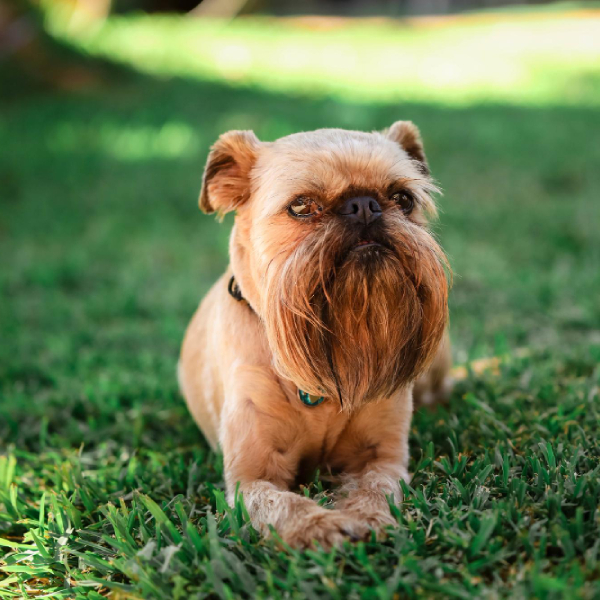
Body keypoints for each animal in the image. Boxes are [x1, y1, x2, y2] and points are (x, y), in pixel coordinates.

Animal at [178, 122, 450, 548]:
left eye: (403, 199)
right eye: (302, 206)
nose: (364, 205)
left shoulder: (382, 458)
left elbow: (376, 487)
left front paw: (366, 516)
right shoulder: (250, 479)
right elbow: (282, 504)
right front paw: (319, 526)